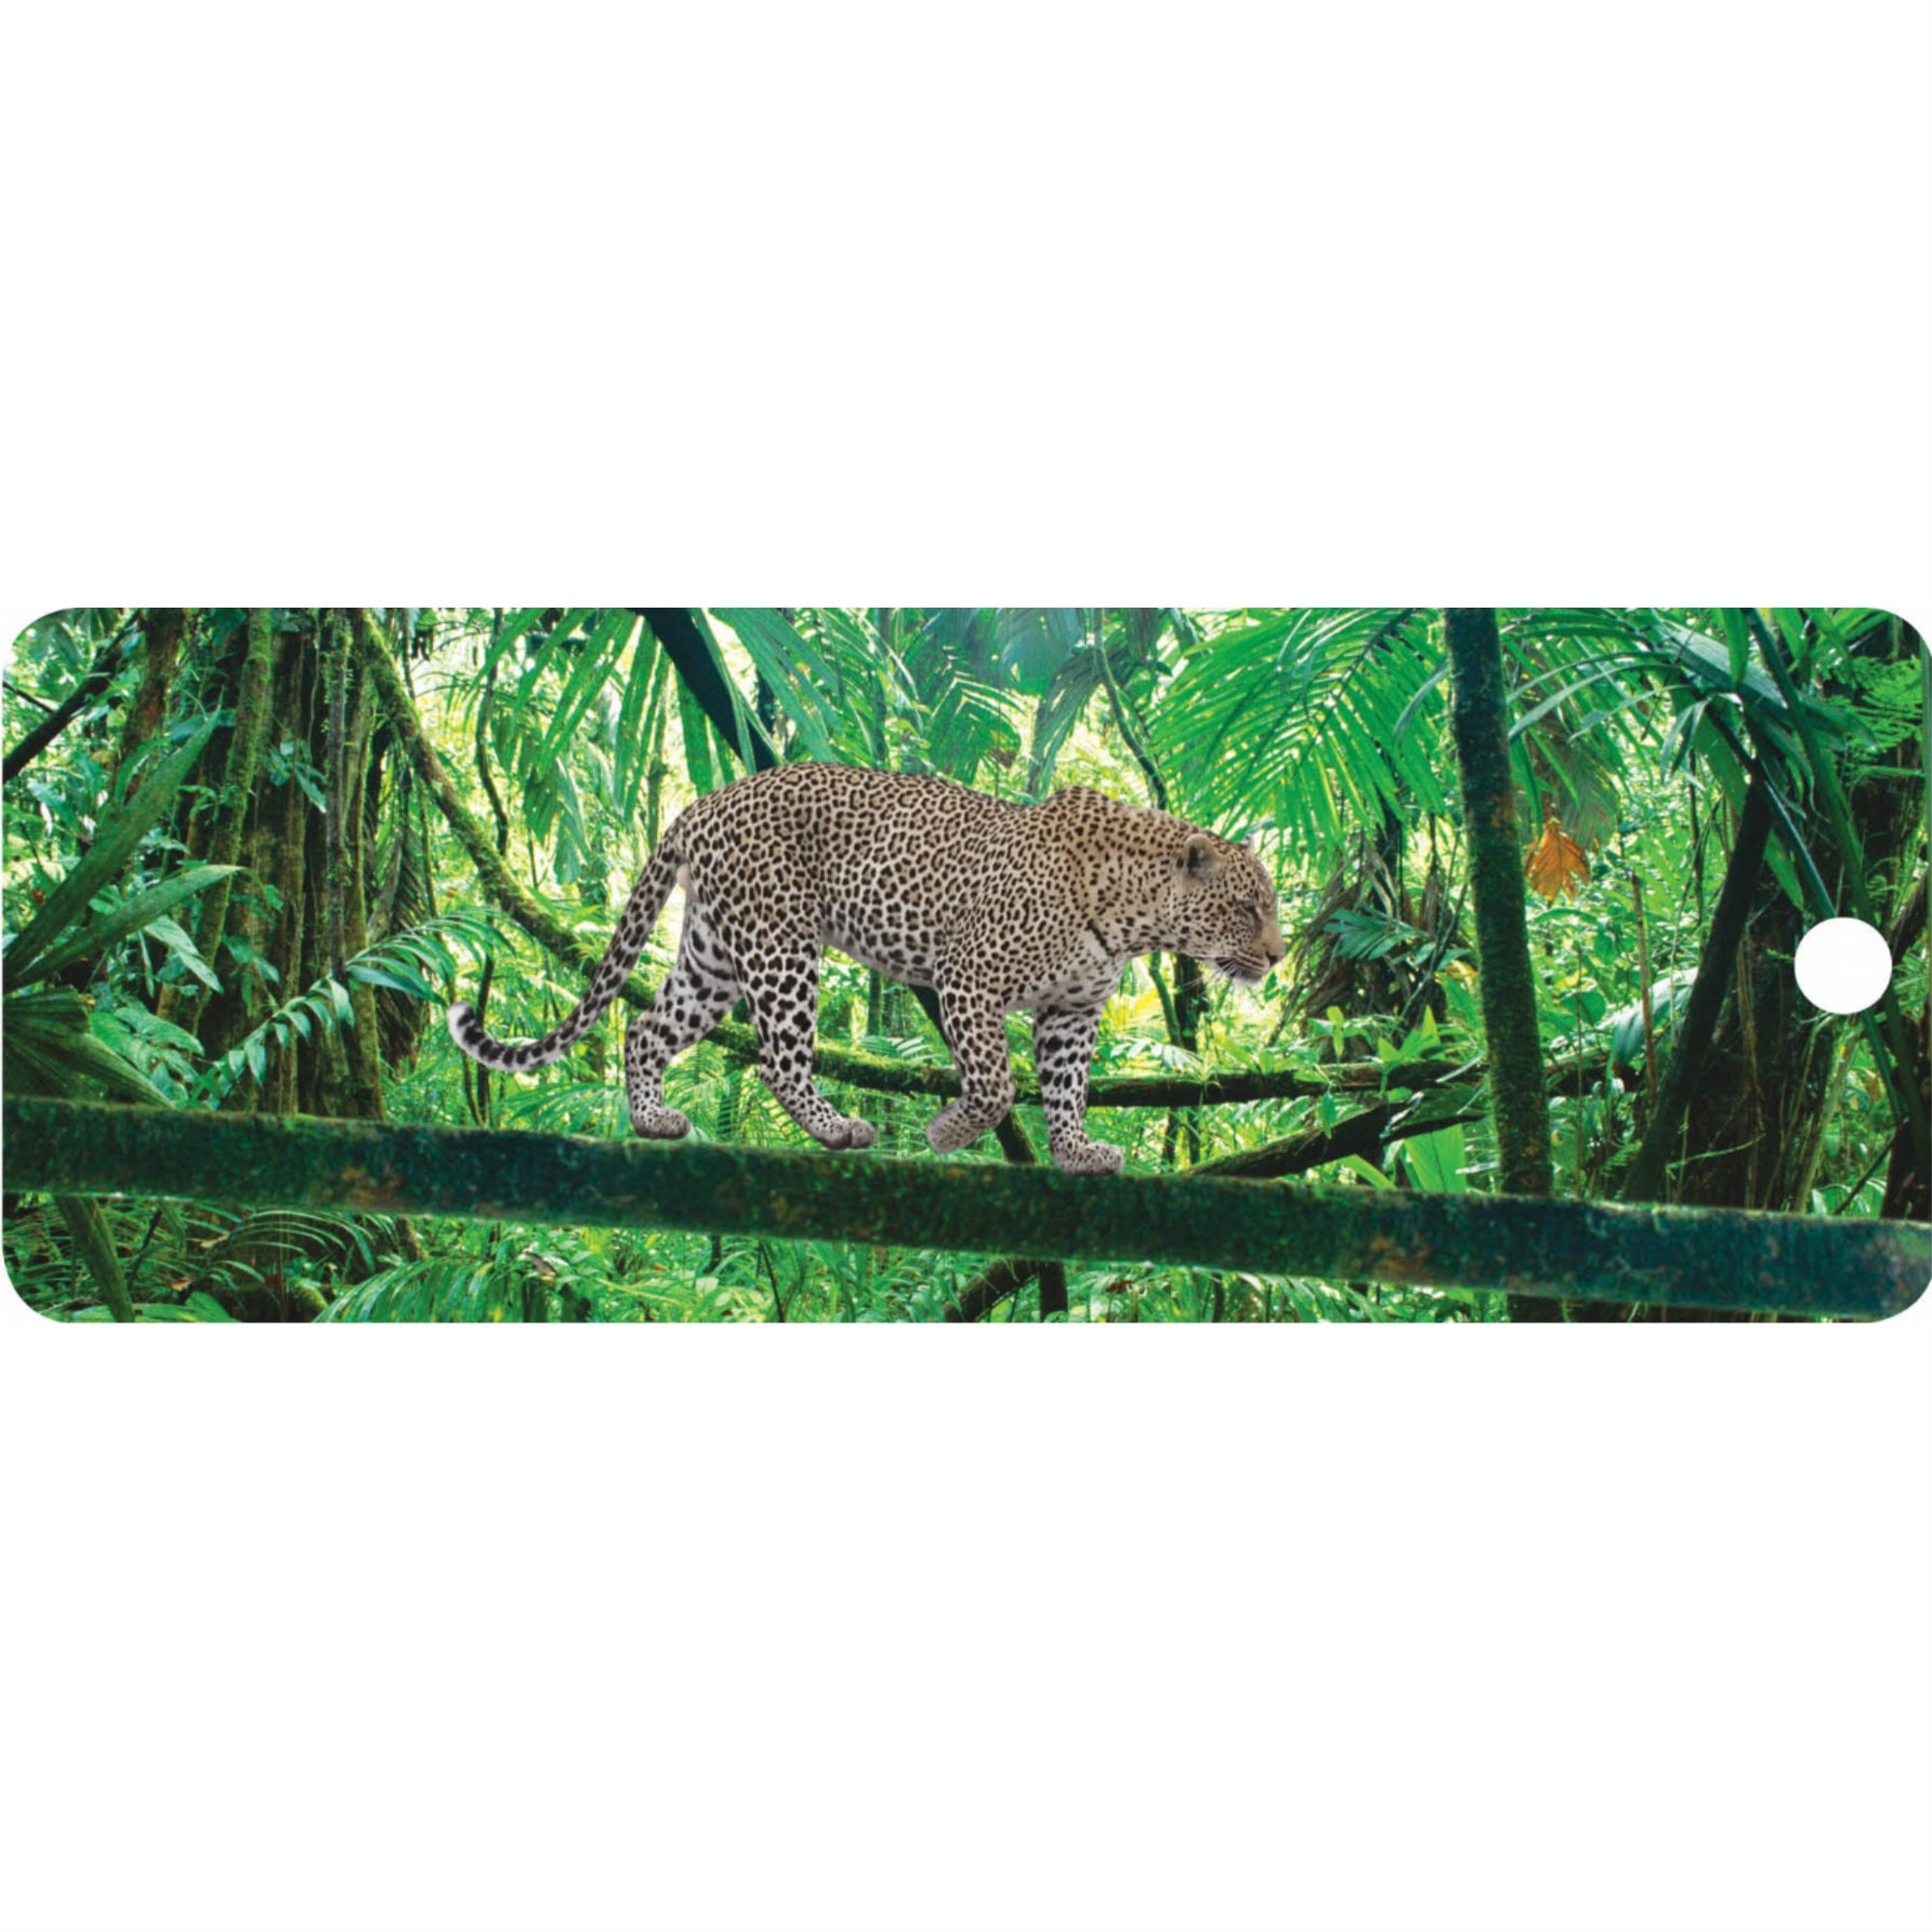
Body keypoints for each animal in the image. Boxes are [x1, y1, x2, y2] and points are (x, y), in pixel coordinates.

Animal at [447, 762, 1285, 1175]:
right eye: (1249, 909)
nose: (1278, 956)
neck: (1134, 914)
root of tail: (704, 802)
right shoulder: (967, 976)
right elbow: (995, 1083)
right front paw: (948, 1132)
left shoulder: (1071, 1014)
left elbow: (1066, 1089)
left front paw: (1076, 1152)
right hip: (782, 946)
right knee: (780, 1060)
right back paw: (836, 1130)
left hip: (713, 956)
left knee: (646, 1030)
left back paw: (652, 1120)